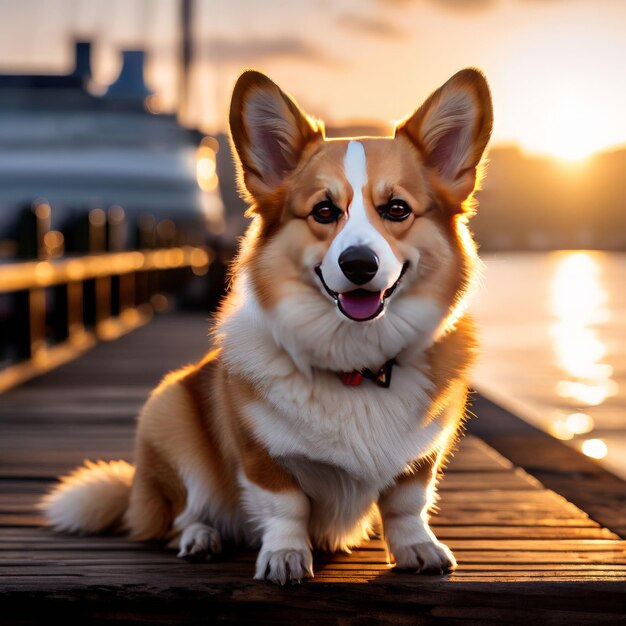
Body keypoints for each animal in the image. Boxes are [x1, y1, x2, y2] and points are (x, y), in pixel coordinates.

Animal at [42, 69, 492, 584]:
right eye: (323, 211)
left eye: (397, 209)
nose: (359, 264)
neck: (356, 366)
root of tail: (136, 495)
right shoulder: (262, 456)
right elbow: (285, 508)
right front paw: (285, 558)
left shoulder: (421, 457)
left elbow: (407, 503)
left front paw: (418, 549)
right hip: (167, 414)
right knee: (179, 518)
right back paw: (201, 538)